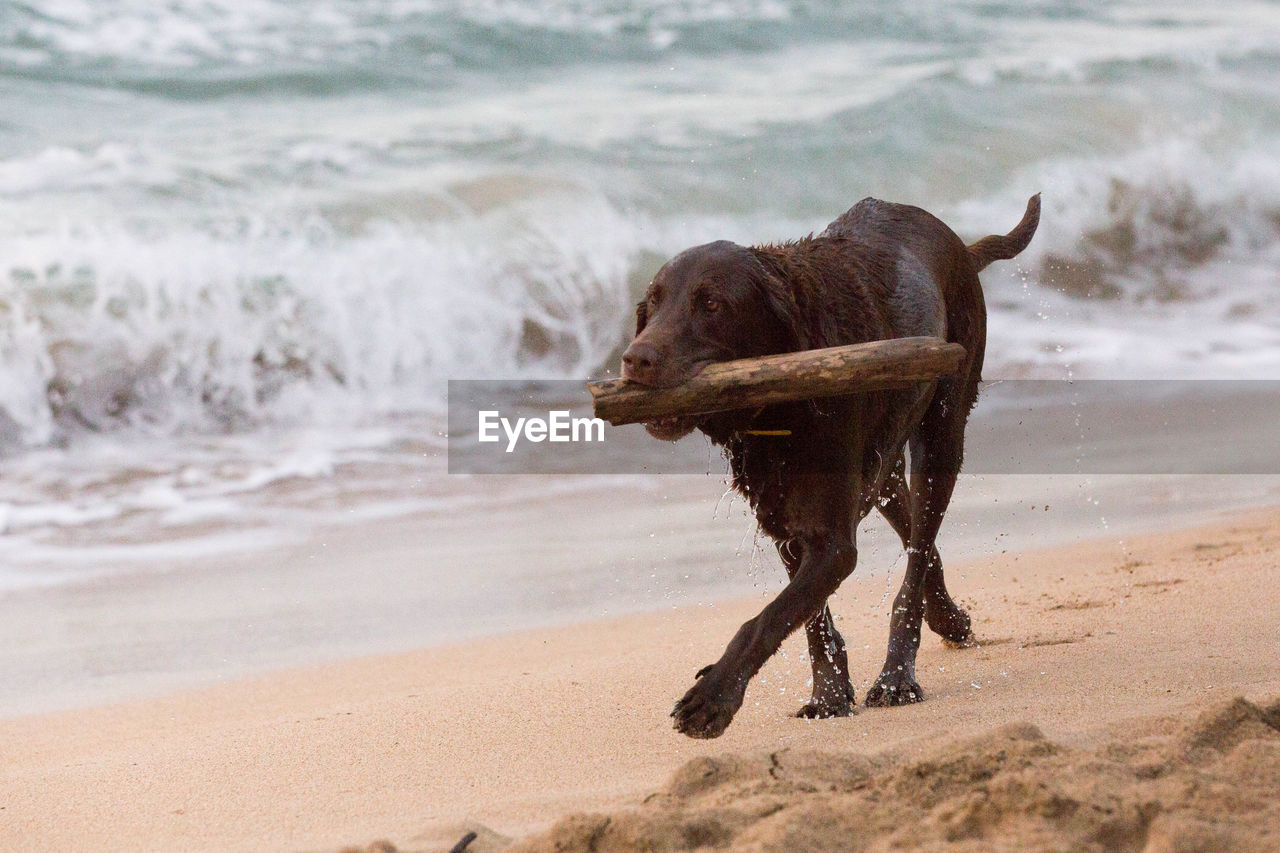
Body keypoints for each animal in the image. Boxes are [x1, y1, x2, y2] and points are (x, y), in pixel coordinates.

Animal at [619, 190, 1039, 732]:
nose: (635, 359)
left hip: (944, 432)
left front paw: (713, 697)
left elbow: (767, 619)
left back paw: (897, 677)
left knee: (918, 553)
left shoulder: (831, 542)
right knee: (915, 535)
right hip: (883, 466)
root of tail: (959, 247)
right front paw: (830, 694)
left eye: (711, 304)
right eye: (652, 303)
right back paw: (948, 618)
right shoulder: (783, 520)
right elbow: (811, 620)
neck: (780, 408)